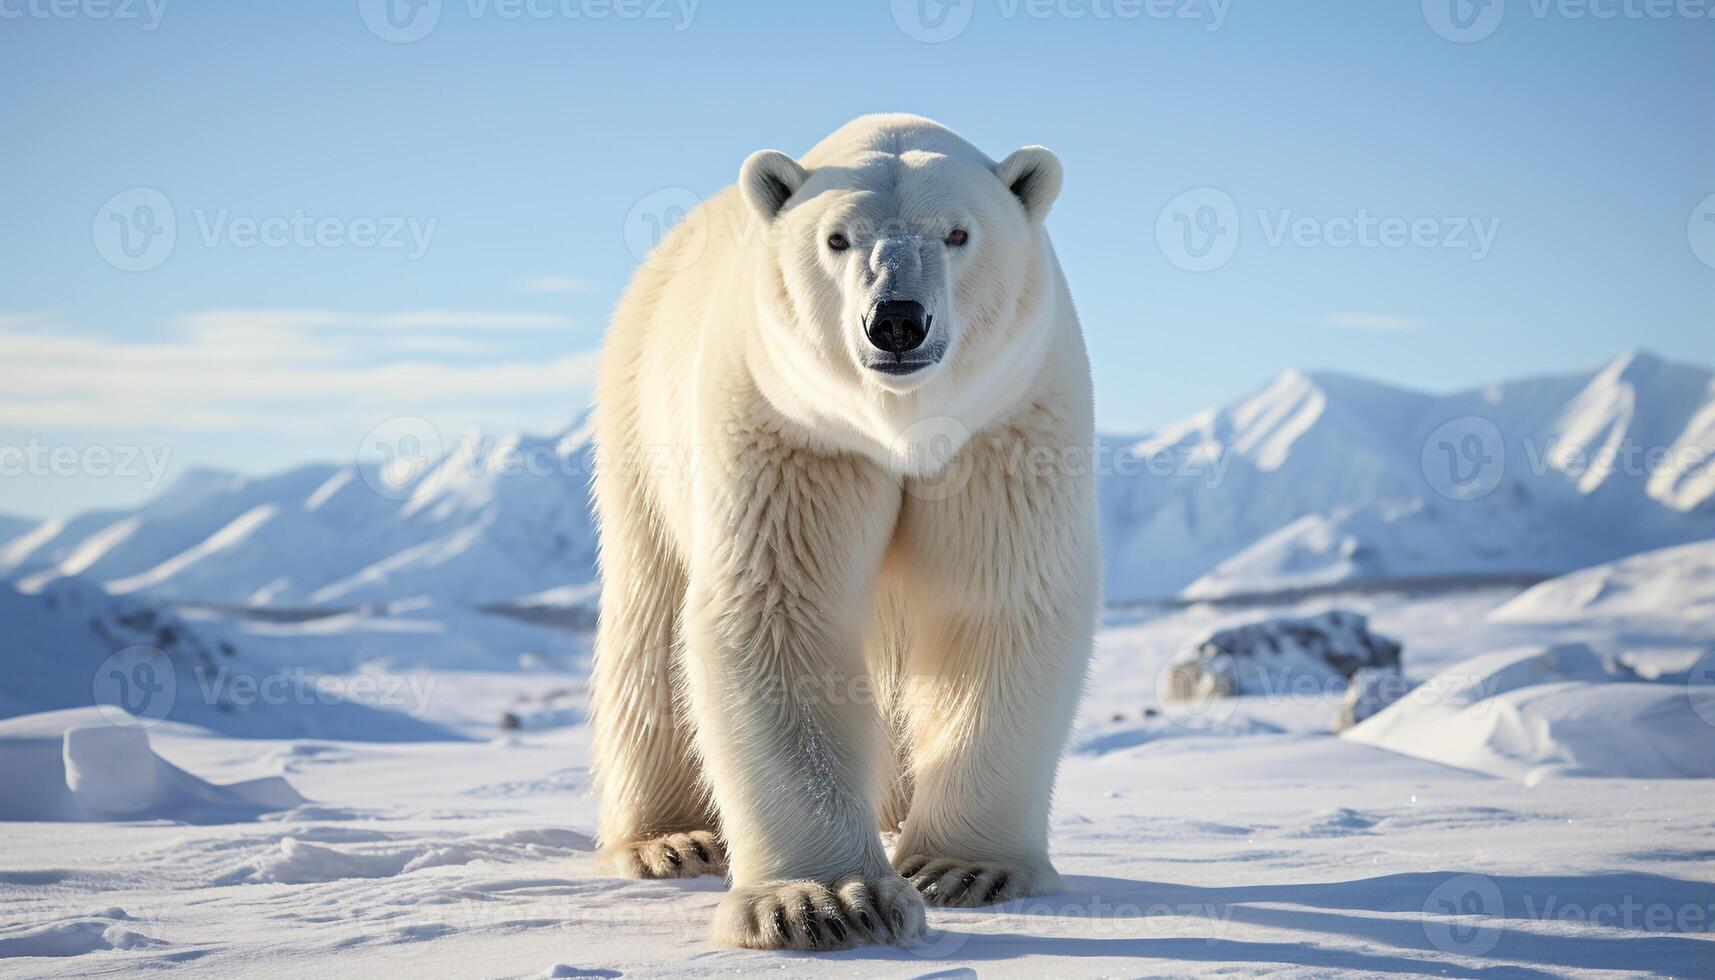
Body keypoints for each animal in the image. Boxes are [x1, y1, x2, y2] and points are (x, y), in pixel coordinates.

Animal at [586, 114, 1097, 954]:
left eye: (957, 231)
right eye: (836, 238)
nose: (896, 320)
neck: (895, 428)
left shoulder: (1002, 429)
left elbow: (992, 604)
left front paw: (965, 868)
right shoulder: (792, 430)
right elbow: (778, 610)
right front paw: (824, 902)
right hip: (637, 417)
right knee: (649, 619)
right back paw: (670, 840)